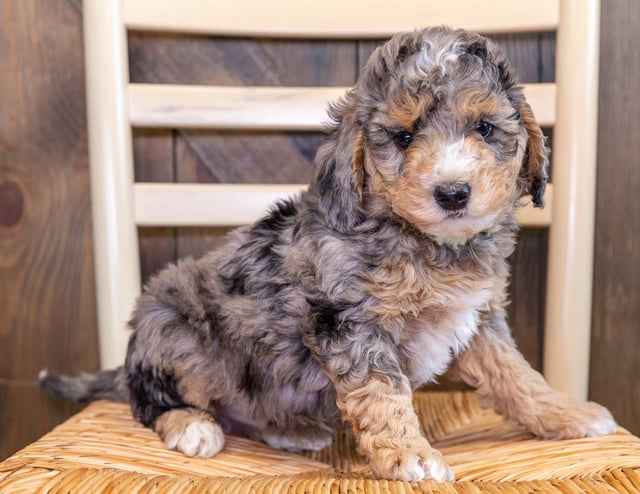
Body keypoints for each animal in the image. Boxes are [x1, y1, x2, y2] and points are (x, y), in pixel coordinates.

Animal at [41, 27, 616, 482]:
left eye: (485, 128)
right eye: (403, 137)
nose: (452, 192)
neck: (424, 243)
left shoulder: (479, 318)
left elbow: (516, 376)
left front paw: (565, 415)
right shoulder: (348, 322)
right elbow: (384, 394)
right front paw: (411, 454)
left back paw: (288, 431)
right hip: (172, 330)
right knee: (149, 399)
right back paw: (192, 426)